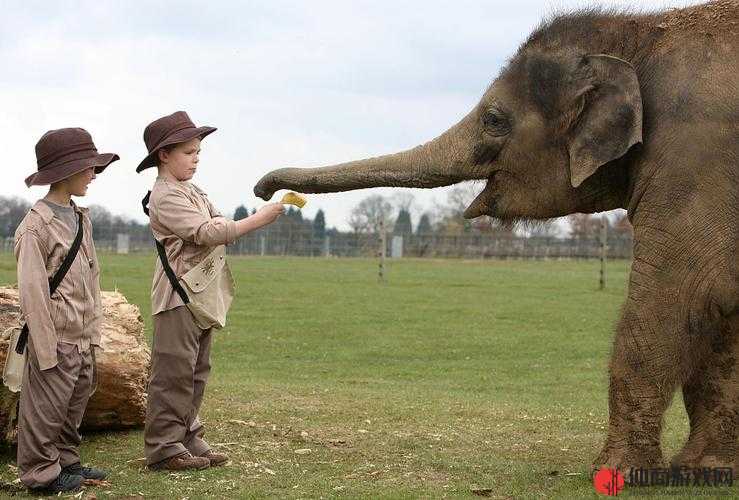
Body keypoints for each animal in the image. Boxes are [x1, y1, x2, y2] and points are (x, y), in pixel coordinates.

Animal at [256, 0, 739, 474]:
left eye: (493, 119)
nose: (264, 190)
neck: (644, 29)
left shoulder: (694, 158)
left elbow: (680, 292)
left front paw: (618, 472)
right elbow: (722, 312)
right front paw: (706, 467)